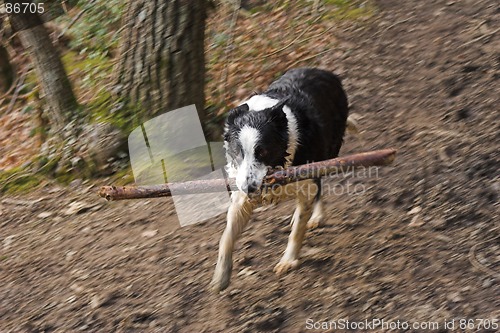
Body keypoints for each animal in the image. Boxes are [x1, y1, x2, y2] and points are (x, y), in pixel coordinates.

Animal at [210, 67, 348, 290]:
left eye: (263, 151)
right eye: (237, 152)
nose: (249, 188)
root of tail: (324, 71)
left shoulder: (307, 178)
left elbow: (298, 230)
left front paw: (288, 261)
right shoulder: (241, 196)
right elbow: (226, 237)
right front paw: (220, 276)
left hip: (327, 154)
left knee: (318, 187)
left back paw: (317, 215)